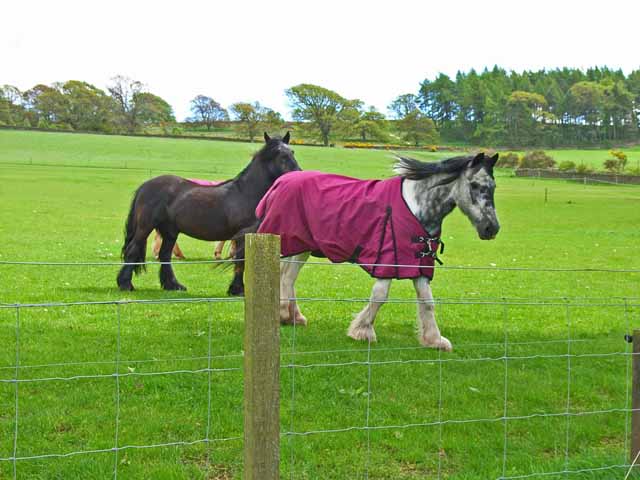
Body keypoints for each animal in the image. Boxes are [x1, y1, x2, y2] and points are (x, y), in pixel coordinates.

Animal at [117, 131, 300, 292]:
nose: (298, 174)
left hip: (169, 231)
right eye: (279, 154)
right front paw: (237, 289)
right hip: (145, 227)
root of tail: (145, 185)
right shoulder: (242, 235)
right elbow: (240, 260)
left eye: (292, 152)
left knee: (165, 255)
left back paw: (173, 285)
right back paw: (125, 284)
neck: (246, 192)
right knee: (132, 250)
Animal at [252, 152, 498, 350]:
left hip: (301, 247)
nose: (492, 228)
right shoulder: (388, 262)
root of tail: (282, 180)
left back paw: (293, 317)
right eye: (475, 185)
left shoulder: (418, 265)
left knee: (287, 277)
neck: (416, 207)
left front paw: (434, 340)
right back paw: (284, 314)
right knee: (286, 277)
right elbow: (379, 297)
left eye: (493, 187)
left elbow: (427, 302)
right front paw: (362, 331)